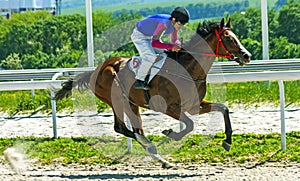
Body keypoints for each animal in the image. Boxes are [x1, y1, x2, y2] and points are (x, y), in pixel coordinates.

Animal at [54, 18, 251, 168]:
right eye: (228, 38)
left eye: (235, 37)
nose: (247, 55)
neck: (187, 70)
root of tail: (95, 70)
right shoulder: (167, 106)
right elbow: (189, 125)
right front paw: (170, 132)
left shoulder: (195, 105)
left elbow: (223, 108)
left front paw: (227, 141)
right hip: (115, 97)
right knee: (122, 128)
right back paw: (151, 146)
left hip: (131, 103)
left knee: (133, 128)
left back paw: (162, 159)